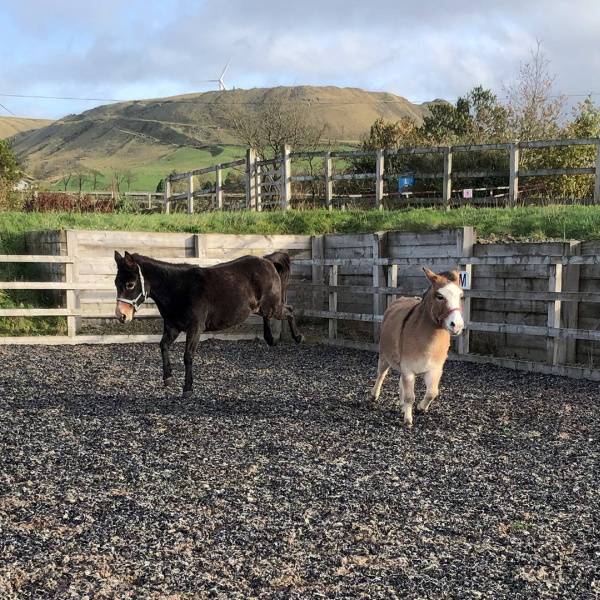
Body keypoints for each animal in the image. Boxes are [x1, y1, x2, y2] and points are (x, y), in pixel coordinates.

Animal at [114, 252, 302, 398]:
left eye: (130, 284)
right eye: (116, 283)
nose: (121, 316)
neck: (179, 289)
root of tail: (267, 261)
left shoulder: (195, 328)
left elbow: (188, 356)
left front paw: (187, 389)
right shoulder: (173, 327)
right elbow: (163, 345)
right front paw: (168, 377)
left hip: (272, 306)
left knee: (290, 310)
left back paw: (298, 337)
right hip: (263, 308)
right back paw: (271, 339)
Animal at [370, 266, 464, 426]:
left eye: (461, 296)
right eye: (439, 296)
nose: (456, 325)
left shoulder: (434, 369)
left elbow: (432, 392)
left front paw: (420, 408)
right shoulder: (408, 369)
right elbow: (410, 396)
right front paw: (408, 419)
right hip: (384, 356)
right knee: (381, 374)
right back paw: (374, 395)